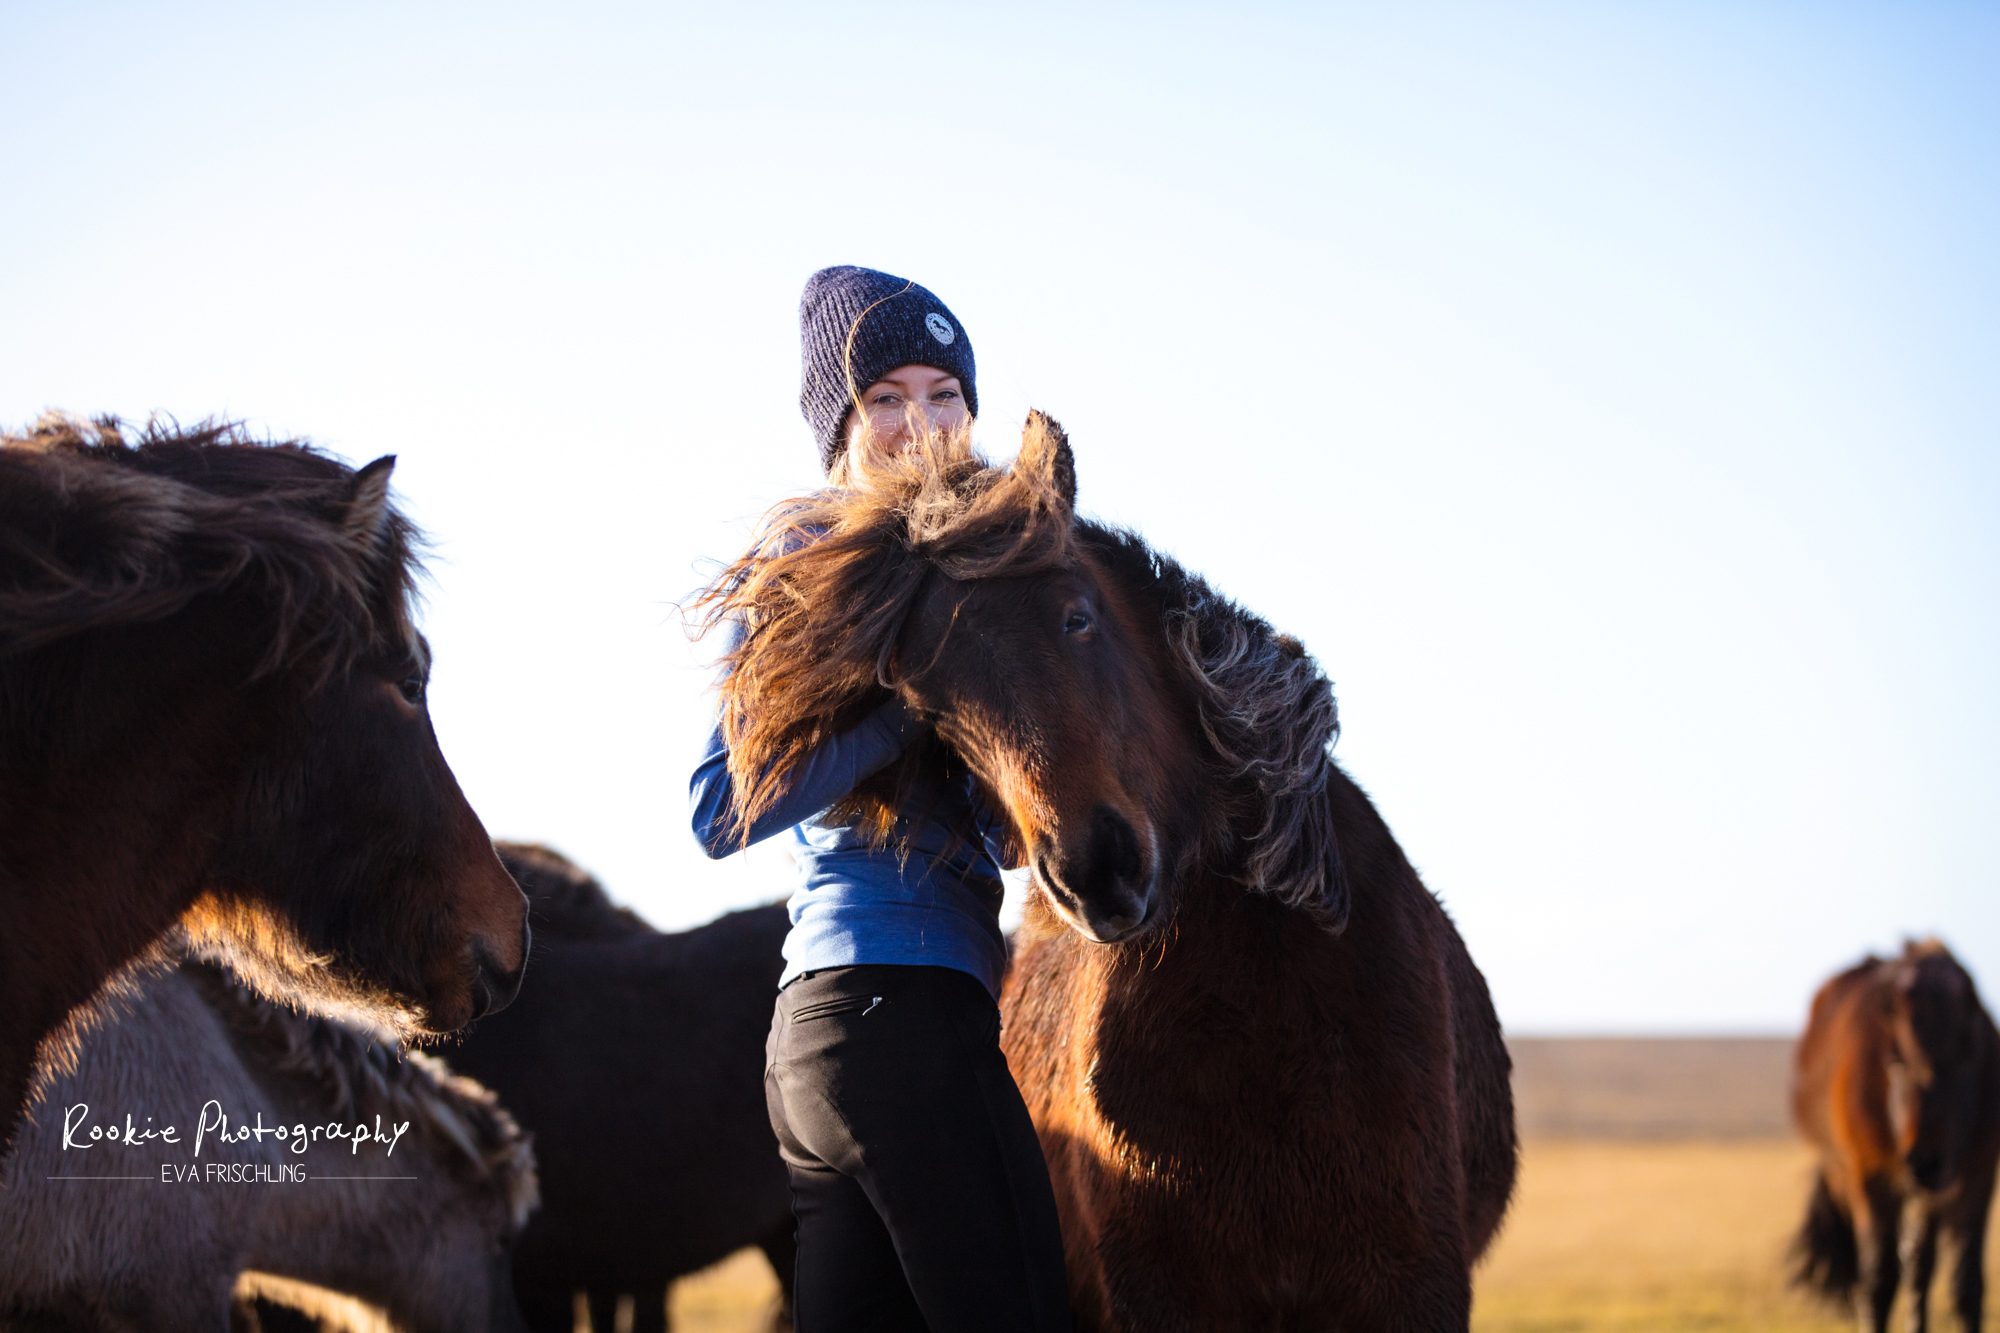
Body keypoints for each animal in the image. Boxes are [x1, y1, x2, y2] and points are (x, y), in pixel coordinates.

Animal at [694, 414, 1518, 1330]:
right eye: (928, 710)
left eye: (1078, 620)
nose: (1098, 871)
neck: (1265, 994)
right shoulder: (1163, 1295)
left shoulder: (1407, 1287)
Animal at [1792, 939, 2000, 1332]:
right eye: (1895, 1060)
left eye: (1967, 1054)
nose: (1925, 1160)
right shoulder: (1870, 1176)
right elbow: (1878, 1281)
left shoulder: (1977, 1175)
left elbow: (1965, 1284)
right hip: (1847, 1174)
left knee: (1919, 1265)